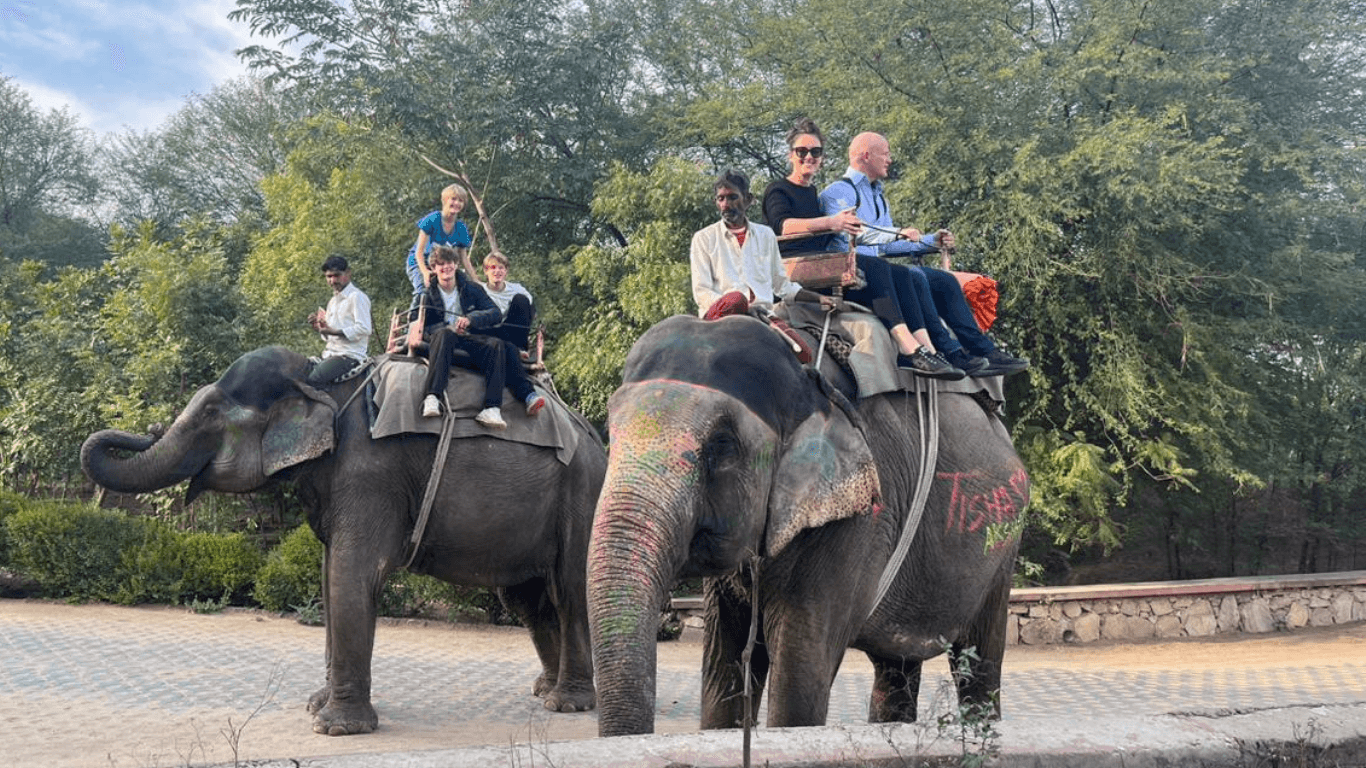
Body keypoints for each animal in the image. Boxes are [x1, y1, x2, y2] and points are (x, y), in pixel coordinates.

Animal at [82, 345, 606, 735]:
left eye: (210, 412)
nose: (146, 428)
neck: (316, 381)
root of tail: (594, 437)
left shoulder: (369, 473)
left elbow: (350, 573)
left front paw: (335, 727)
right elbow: (328, 577)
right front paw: (316, 705)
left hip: (581, 493)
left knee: (569, 588)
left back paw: (569, 704)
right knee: (527, 600)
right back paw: (544, 690)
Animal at [587, 314, 1027, 736]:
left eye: (722, 445)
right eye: (611, 432)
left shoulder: (860, 517)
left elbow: (799, 678)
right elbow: (721, 670)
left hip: (1001, 550)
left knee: (980, 662)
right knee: (896, 667)